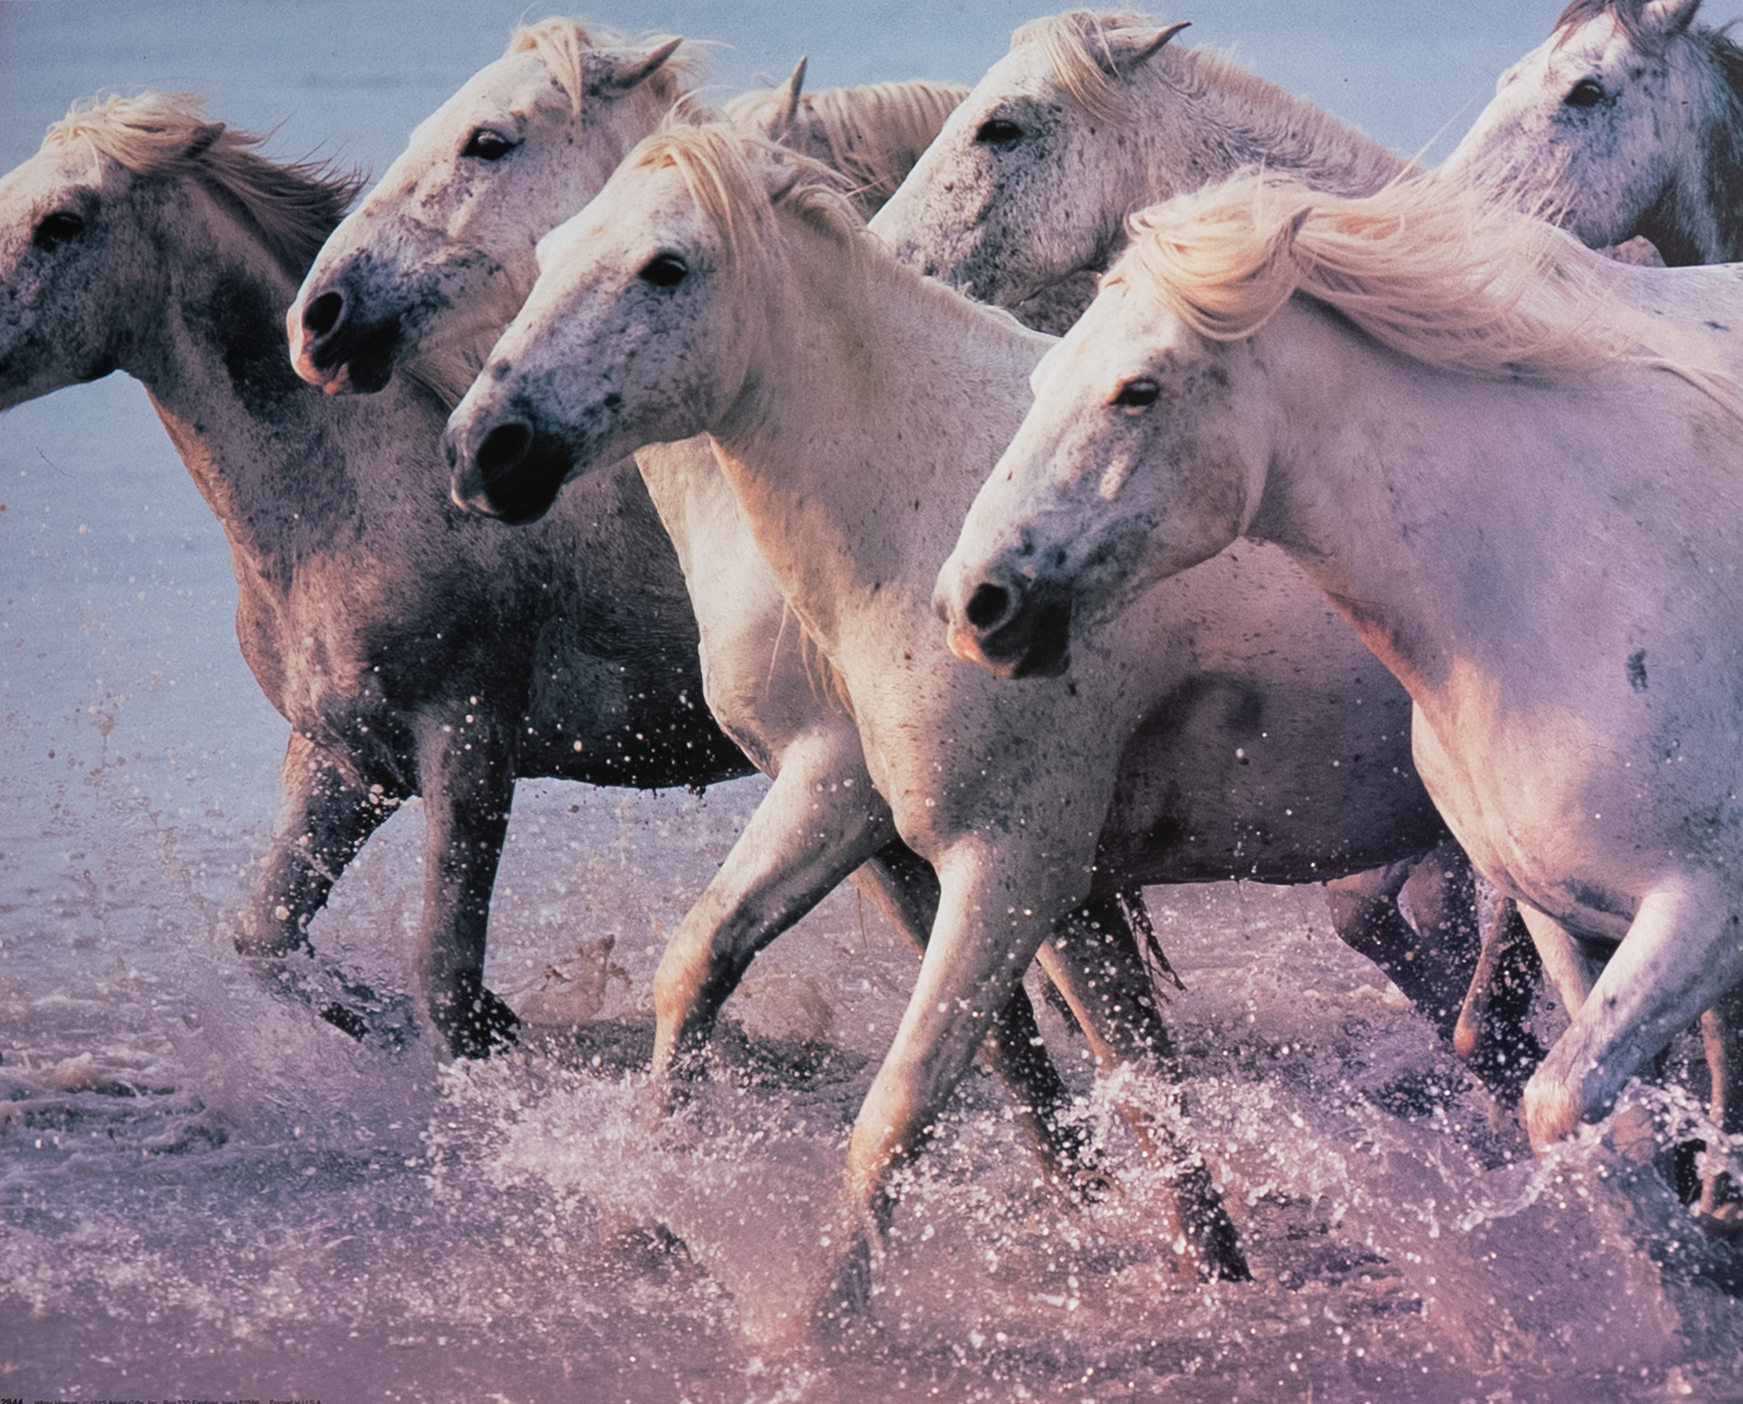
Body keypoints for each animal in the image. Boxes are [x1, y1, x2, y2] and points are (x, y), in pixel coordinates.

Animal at [0, 90, 756, 1057]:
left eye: (62, 221)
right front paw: (408, 1019)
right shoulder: (346, 756)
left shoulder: (469, 741)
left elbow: (443, 982)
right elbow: (267, 940)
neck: (351, 504)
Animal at [437, 123, 1487, 1318]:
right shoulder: (912, 822)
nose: (483, 449)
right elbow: (709, 964)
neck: (925, 510)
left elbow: (908, 1100)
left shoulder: (1004, 861)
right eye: (549, 251)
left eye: (666, 268)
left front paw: (815, 1326)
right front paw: (637, 1217)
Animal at [933, 169, 1743, 1216]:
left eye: (1138, 390)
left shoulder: (1699, 911)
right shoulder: (1562, 916)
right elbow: (1616, 1125)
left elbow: (1561, 1106)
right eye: (1040, 383)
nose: (973, 603)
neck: (1559, 585)